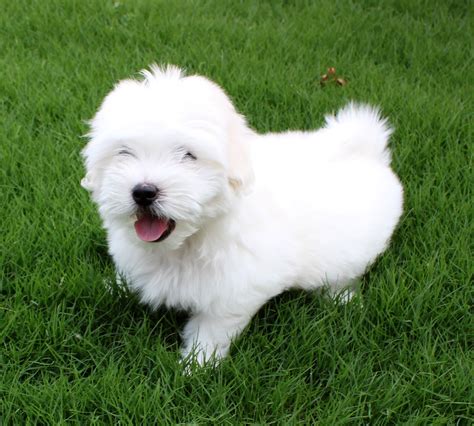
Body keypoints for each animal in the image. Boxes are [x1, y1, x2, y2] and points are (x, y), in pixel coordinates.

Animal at [82, 65, 404, 364]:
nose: (144, 191)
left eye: (189, 155)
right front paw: (116, 286)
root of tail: (366, 150)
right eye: (124, 152)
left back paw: (342, 299)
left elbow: (212, 329)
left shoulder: (233, 290)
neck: (188, 241)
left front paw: (196, 366)